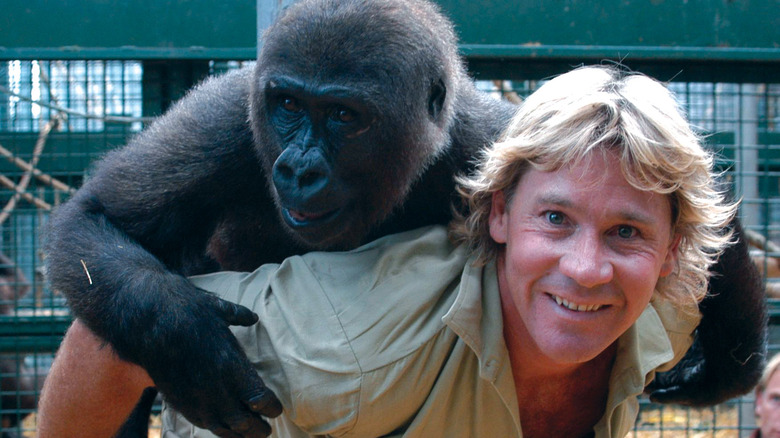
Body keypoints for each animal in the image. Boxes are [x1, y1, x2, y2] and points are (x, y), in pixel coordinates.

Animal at [44, 0, 768, 434]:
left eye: (343, 116)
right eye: (287, 104)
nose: (298, 169)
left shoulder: (482, 140)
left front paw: (725, 365)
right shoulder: (228, 117)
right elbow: (97, 222)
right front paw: (184, 337)